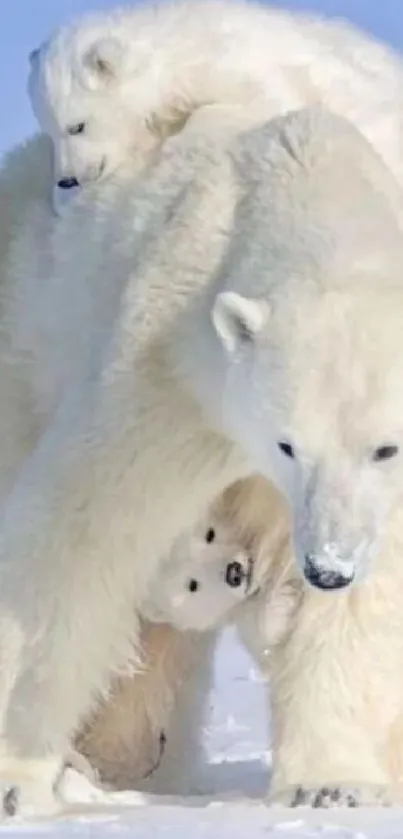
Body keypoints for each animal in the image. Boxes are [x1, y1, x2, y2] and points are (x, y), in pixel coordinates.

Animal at [0, 106, 403, 820]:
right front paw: (17, 779)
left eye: (385, 446)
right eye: (287, 443)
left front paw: (334, 784)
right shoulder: (174, 369)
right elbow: (81, 533)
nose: (327, 569)